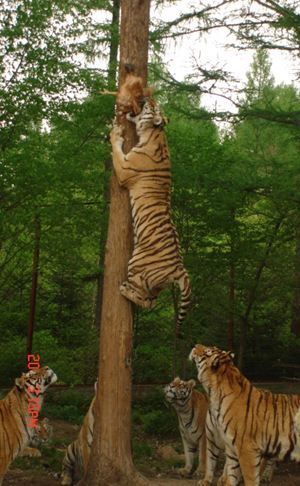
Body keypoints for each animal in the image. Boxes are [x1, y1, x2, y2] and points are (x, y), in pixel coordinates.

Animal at [110, 97, 192, 336]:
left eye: (151, 106)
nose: (145, 98)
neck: (155, 132)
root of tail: (181, 269)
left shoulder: (124, 168)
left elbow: (116, 150)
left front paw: (115, 132)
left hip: (137, 264)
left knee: (146, 301)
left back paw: (124, 289)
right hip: (154, 283)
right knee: (150, 301)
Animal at [190, 342, 300, 486]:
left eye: (207, 351)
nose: (195, 345)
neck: (213, 393)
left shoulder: (247, 449)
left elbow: (249, 478)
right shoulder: (230, 448)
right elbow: (229, 472)